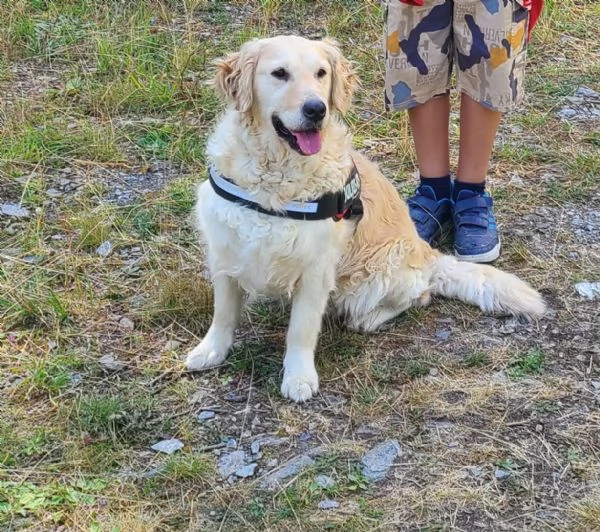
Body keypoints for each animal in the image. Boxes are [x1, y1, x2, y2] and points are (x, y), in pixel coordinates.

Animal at [183, 36, 544, 404]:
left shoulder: (316, 268)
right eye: (279, 73)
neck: (276, 178)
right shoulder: (225, 250)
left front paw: (298, 377)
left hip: (379, 272)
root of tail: (427, 251)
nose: (316, 109)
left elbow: (301, 330)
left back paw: (366, 318)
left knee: (419, 294)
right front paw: (210, 351)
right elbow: (223, 314)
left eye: (321, 73)